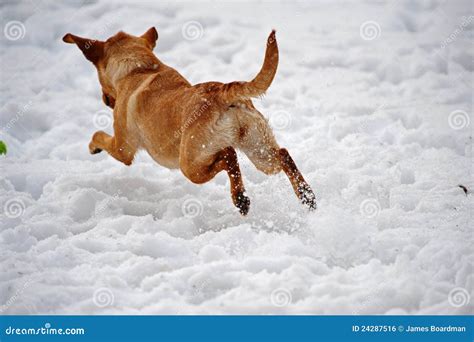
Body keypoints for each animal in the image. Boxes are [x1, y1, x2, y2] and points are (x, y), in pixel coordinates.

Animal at [62, 26, 314, 215]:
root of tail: (221, 92)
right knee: (282, 154)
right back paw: (306, 195)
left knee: (229, 155)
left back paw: (241, 198)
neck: (139, 69)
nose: (105, 101)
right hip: (260, 151)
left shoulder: (123, 148)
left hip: (191, 165)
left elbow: (99, 135)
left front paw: (93, 146)